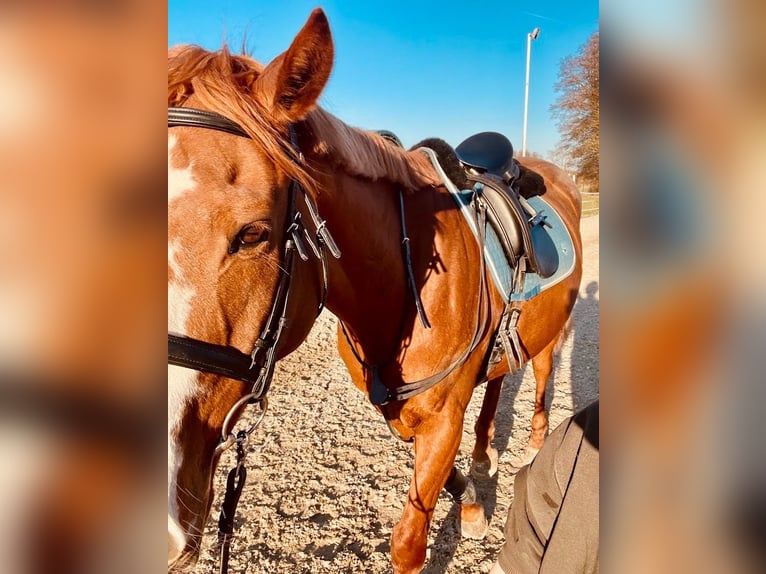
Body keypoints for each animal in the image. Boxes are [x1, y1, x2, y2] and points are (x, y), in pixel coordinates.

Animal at [168, 9, 582, 573]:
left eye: (253, 234)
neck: (402, 283)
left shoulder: (442, 417)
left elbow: (408, 543)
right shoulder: (406, 413)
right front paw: (472, 501)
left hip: (553, 329)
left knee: (540, 374)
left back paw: (537, 442)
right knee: (499, 380)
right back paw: (483, 451)